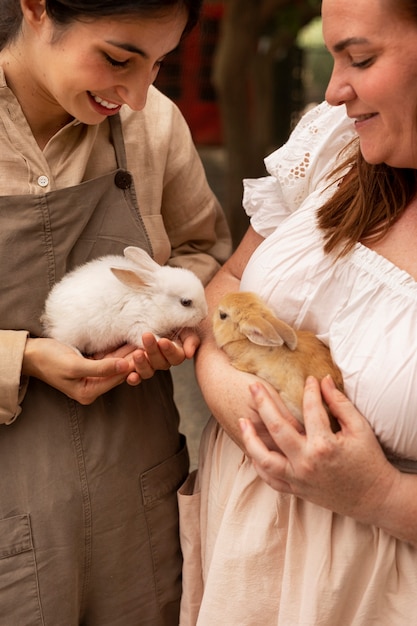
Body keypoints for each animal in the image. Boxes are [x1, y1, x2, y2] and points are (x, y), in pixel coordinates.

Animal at [40, 244, 206, 352]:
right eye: (185, 302)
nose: (204, 317)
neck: (153, 302)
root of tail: (49, 313)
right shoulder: (137, 325)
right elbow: (145, 338)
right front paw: (172, 345)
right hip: (70, 333)